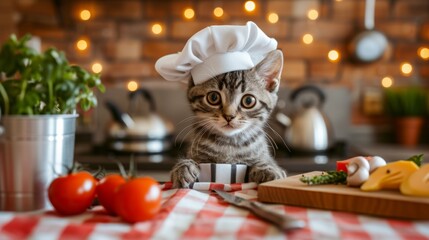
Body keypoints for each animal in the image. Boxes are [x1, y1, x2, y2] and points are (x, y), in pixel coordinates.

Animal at [170, 48, 284, 188]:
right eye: (213, 97)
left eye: (248, 100)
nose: (229, 116)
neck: (230, 143)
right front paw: (184, 168)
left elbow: (266, 162)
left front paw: (268, 169)